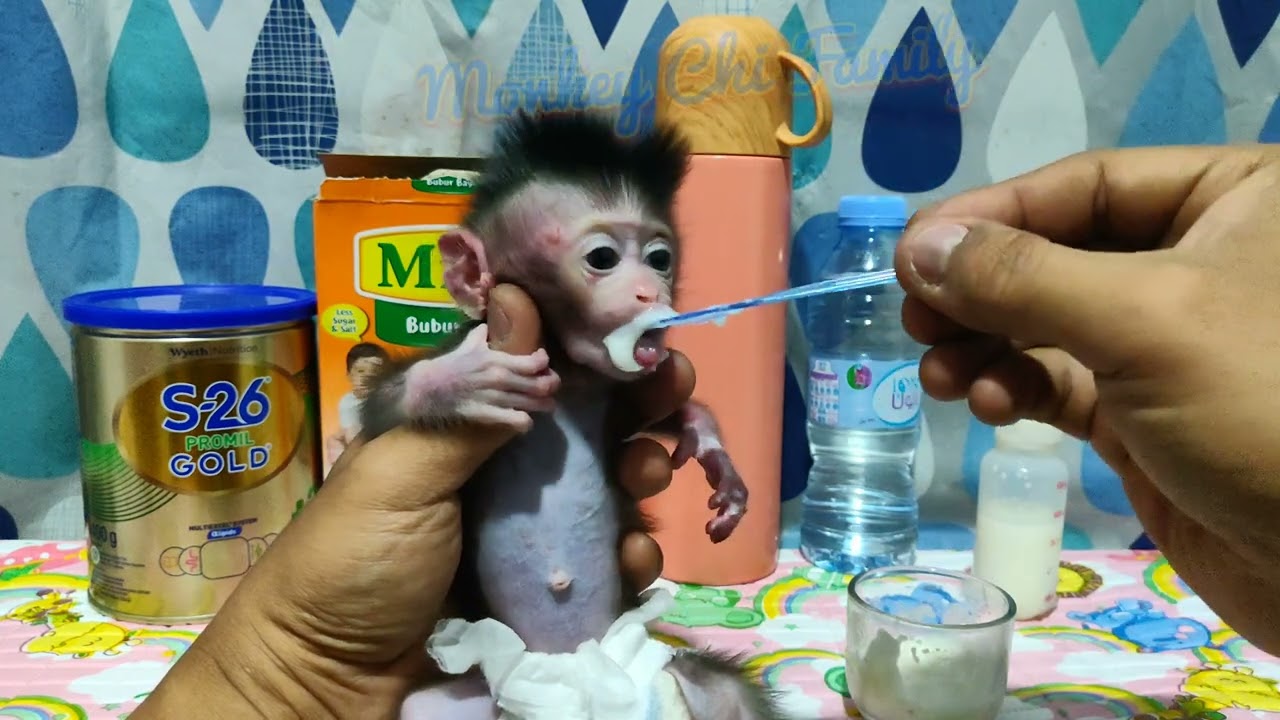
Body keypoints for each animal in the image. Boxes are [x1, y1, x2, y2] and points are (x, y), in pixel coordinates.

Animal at [358, 109, 788, 720]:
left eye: (660, 259)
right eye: (602, 258)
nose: (649, 291)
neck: (569, 375)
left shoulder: (613, 392)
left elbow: (658, 410)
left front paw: (714, 454)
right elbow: (380, 415)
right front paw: (461, 380)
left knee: (727, 692)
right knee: (425, 707)